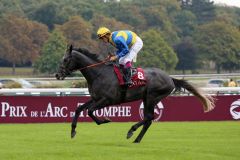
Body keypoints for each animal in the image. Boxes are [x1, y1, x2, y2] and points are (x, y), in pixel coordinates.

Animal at [56, 44, 216, 142]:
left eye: (66, 59)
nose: (57, 75)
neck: (99, 74)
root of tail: (170, 78)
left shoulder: (107, 100)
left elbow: (89, 111)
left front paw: (105, 120)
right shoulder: (95, 98)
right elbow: (79, 109)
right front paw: (73, 131)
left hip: (152, 97)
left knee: (149, 117)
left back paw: (131, 131)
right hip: (147, 98)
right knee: (148, 119)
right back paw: (137, 139)